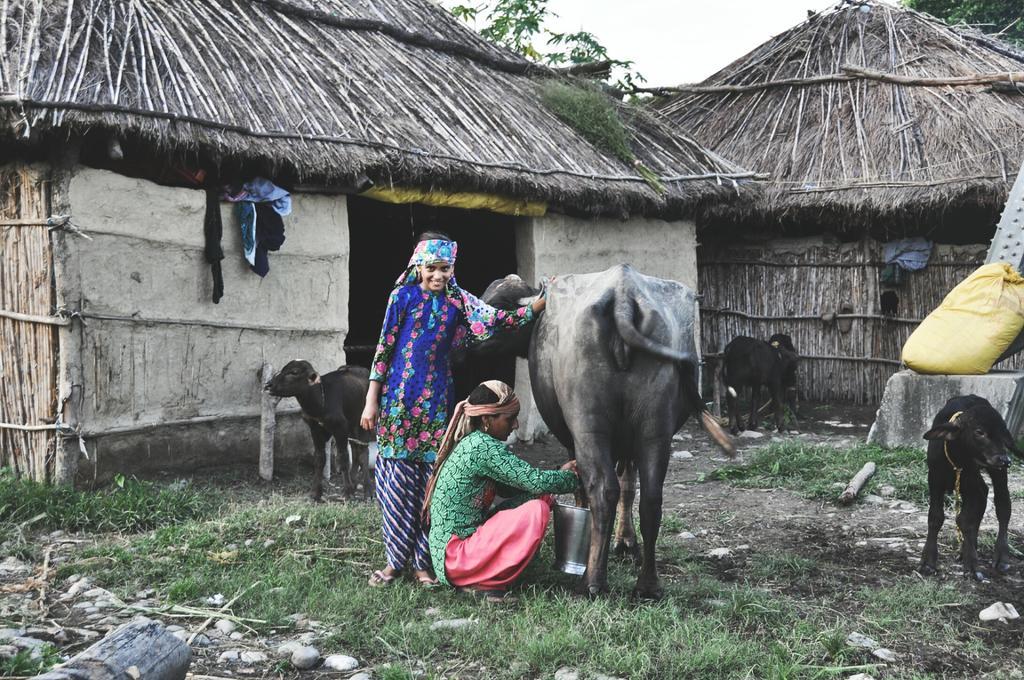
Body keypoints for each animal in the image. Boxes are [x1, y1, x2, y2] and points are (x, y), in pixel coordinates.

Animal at [266, 360, 374, 499]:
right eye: (283, 369)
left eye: (294, 372)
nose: (269, 385)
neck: (320, 400)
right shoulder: (315, 429)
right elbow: (319, 458)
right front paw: (315, 493)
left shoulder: (340, 428)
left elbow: (343, 458)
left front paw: (348, 492)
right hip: (352, 426)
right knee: (355, 451)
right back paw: (354, 483)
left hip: (362, 422)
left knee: (363, 452)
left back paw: (368, 490)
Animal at [475, 266, 733, 602]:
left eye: (498, 302)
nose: (470, 340)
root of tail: (623, 297)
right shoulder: (630, 443)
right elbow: (629, 486)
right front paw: (626, 542)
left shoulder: (575, 441)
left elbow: (584, 490)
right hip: (654, 429)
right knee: (651, 498)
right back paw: (648, 584)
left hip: (588, 424)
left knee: (601, 488)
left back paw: (592, 581)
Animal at [921, 395, 1015, 581]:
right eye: (979, 432)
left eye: (1003, 432)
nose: (1004, 460)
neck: (955, 459)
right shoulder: (934, 480)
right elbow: (935, 517)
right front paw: (928, 561)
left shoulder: (970, 483)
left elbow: (965, 520)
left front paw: (972, 564)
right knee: (984, 494)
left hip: (996, 473)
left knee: (1003, 505)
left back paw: (1002, 556)